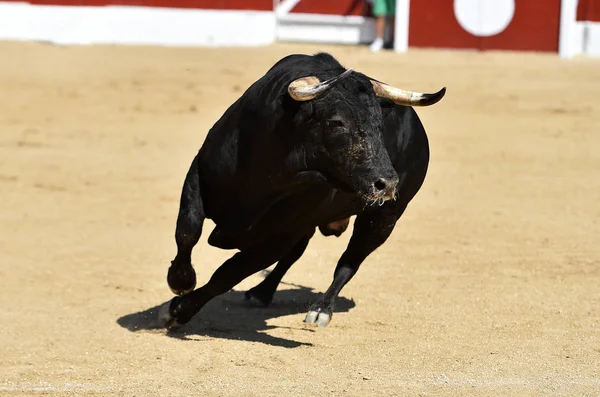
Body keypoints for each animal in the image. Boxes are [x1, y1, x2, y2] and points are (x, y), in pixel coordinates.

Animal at [159, 51, 446, 328]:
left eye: (379, 124)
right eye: (336, 122)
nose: (387, 184)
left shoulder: (282, 235)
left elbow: (229, 273)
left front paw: (178, 311)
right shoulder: (198, 174)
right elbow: (188, 231)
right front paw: (180, 281)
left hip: (384, 218)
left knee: (349, 262)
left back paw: (321, 310)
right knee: (296, 254)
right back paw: (260, 293)